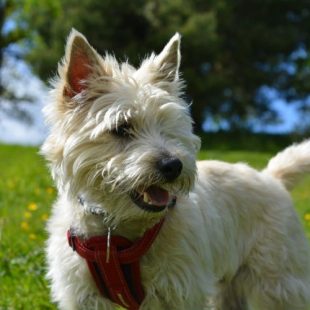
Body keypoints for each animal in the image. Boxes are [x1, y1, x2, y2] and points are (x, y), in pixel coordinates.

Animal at [41, 29, 310, 310]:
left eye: (168, 126)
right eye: (121, 128)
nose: (173, 166)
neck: (115, 234)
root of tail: (271, 178)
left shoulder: (180, 289)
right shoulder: (83, 296)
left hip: (278, 280)